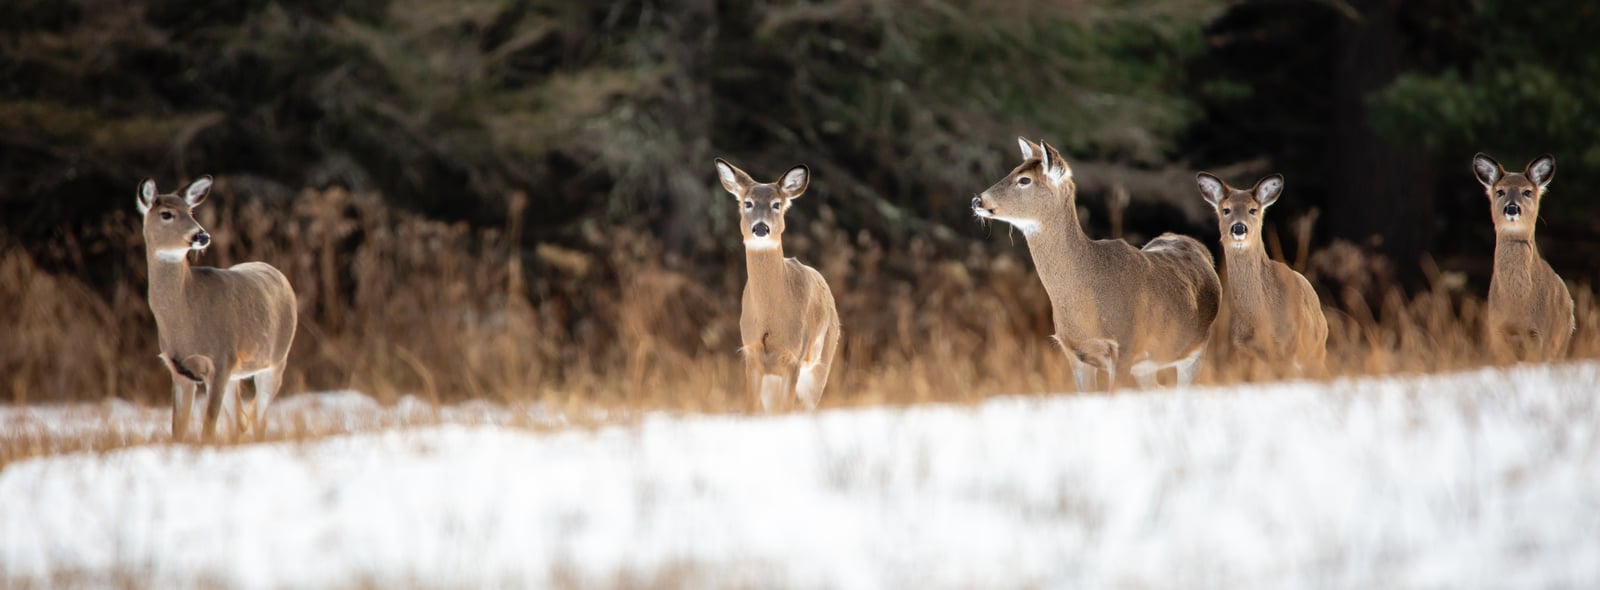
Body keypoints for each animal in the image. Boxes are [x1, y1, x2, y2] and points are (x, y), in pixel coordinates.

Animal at [137, 176, 297, 438]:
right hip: (237, 375)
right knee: (241, 421)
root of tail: (279, 274)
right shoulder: (179, 370)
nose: (202, 236)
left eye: (191, 211)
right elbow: (178, 429)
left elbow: (208, 427)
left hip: (276, 361)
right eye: (166, 214)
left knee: (259, 419)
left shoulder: (222, 359)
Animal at [710, 158, 838, 412]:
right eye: (748, 203)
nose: (761, 228)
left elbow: (785, 410)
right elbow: (751, 409)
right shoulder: (751, 354)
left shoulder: (793, 357)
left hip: (821, 364)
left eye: (776, 204)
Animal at [966, 137, 1216, 390]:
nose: (977, 200)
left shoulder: (1125, 346)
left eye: (1024, 179)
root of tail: (1195, 244)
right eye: (1012, 170)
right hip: (1148, 366)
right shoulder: (1074, 352)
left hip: (1196, 349)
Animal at [1196, 170, 1331, 374]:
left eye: (1253, 210)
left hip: (1316, 353)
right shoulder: (1243, 352)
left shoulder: (1287, 348)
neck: (1262, 320)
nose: (1239, 228)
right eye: (1226, 209)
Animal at [1472, 151, 1574, 361]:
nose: (1512, 208)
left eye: (1527, 192)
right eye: (1500, 191)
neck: (1517, 304)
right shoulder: (1497, 331)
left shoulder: (1540, 332)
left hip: (1561, 341)